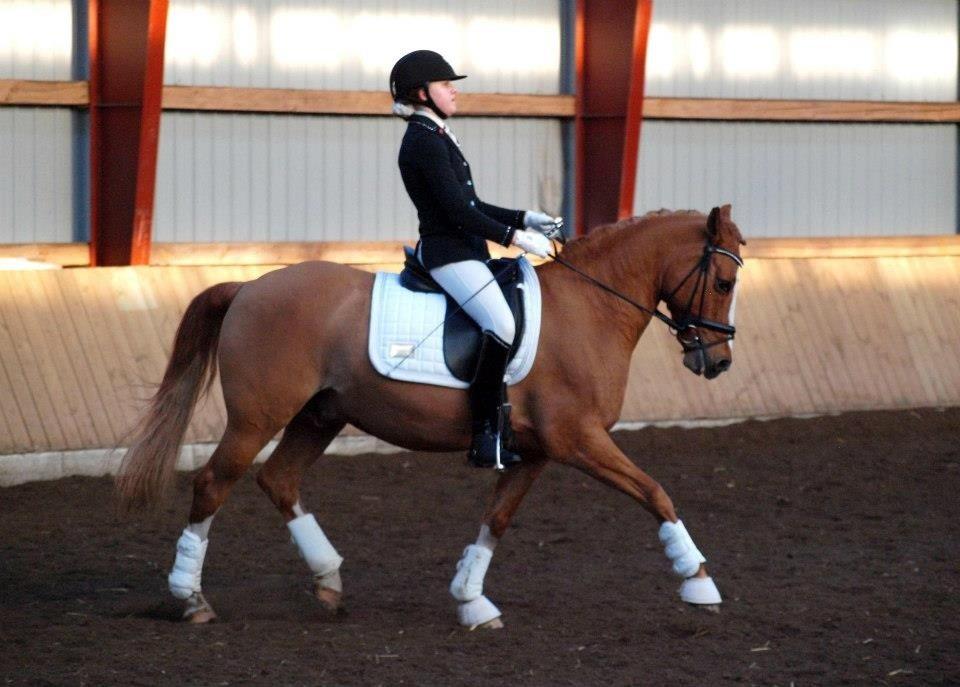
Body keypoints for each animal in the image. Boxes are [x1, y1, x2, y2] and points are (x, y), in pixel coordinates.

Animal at [116, 205, 746, 628]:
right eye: (723, 281)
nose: (717, 363)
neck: (589, 308)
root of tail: (249, 286)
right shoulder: (579, 440)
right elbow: (655, 492)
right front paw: (699, 583)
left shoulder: (537, 450)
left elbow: (497, 519)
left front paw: (472, 600)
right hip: (256, 419)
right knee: (212, 484)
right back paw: (192, 599)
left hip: (320, 415)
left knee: (279, 479)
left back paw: (328, 580)